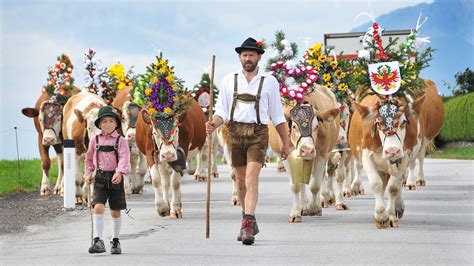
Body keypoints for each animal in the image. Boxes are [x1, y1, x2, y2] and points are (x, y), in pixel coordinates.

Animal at [268, 85, 338, 222]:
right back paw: (303, 206)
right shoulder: (286, 156)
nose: (307, 150)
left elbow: (315, 185)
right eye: (294, 126)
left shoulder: (322, 154)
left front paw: (313, 208)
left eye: (317, 126)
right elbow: (295, 185)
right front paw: (295, 213)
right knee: (301, 182)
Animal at [348, 92, 426, 229]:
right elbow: (376, 184)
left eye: (404, 122)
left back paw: (398, 206)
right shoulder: (366, 156)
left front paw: (390, 216)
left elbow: (393, 187)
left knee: (397, 183)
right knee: (380, 182)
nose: (392, 151)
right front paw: (380, 216)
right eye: (378, 123)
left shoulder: (405, 156)